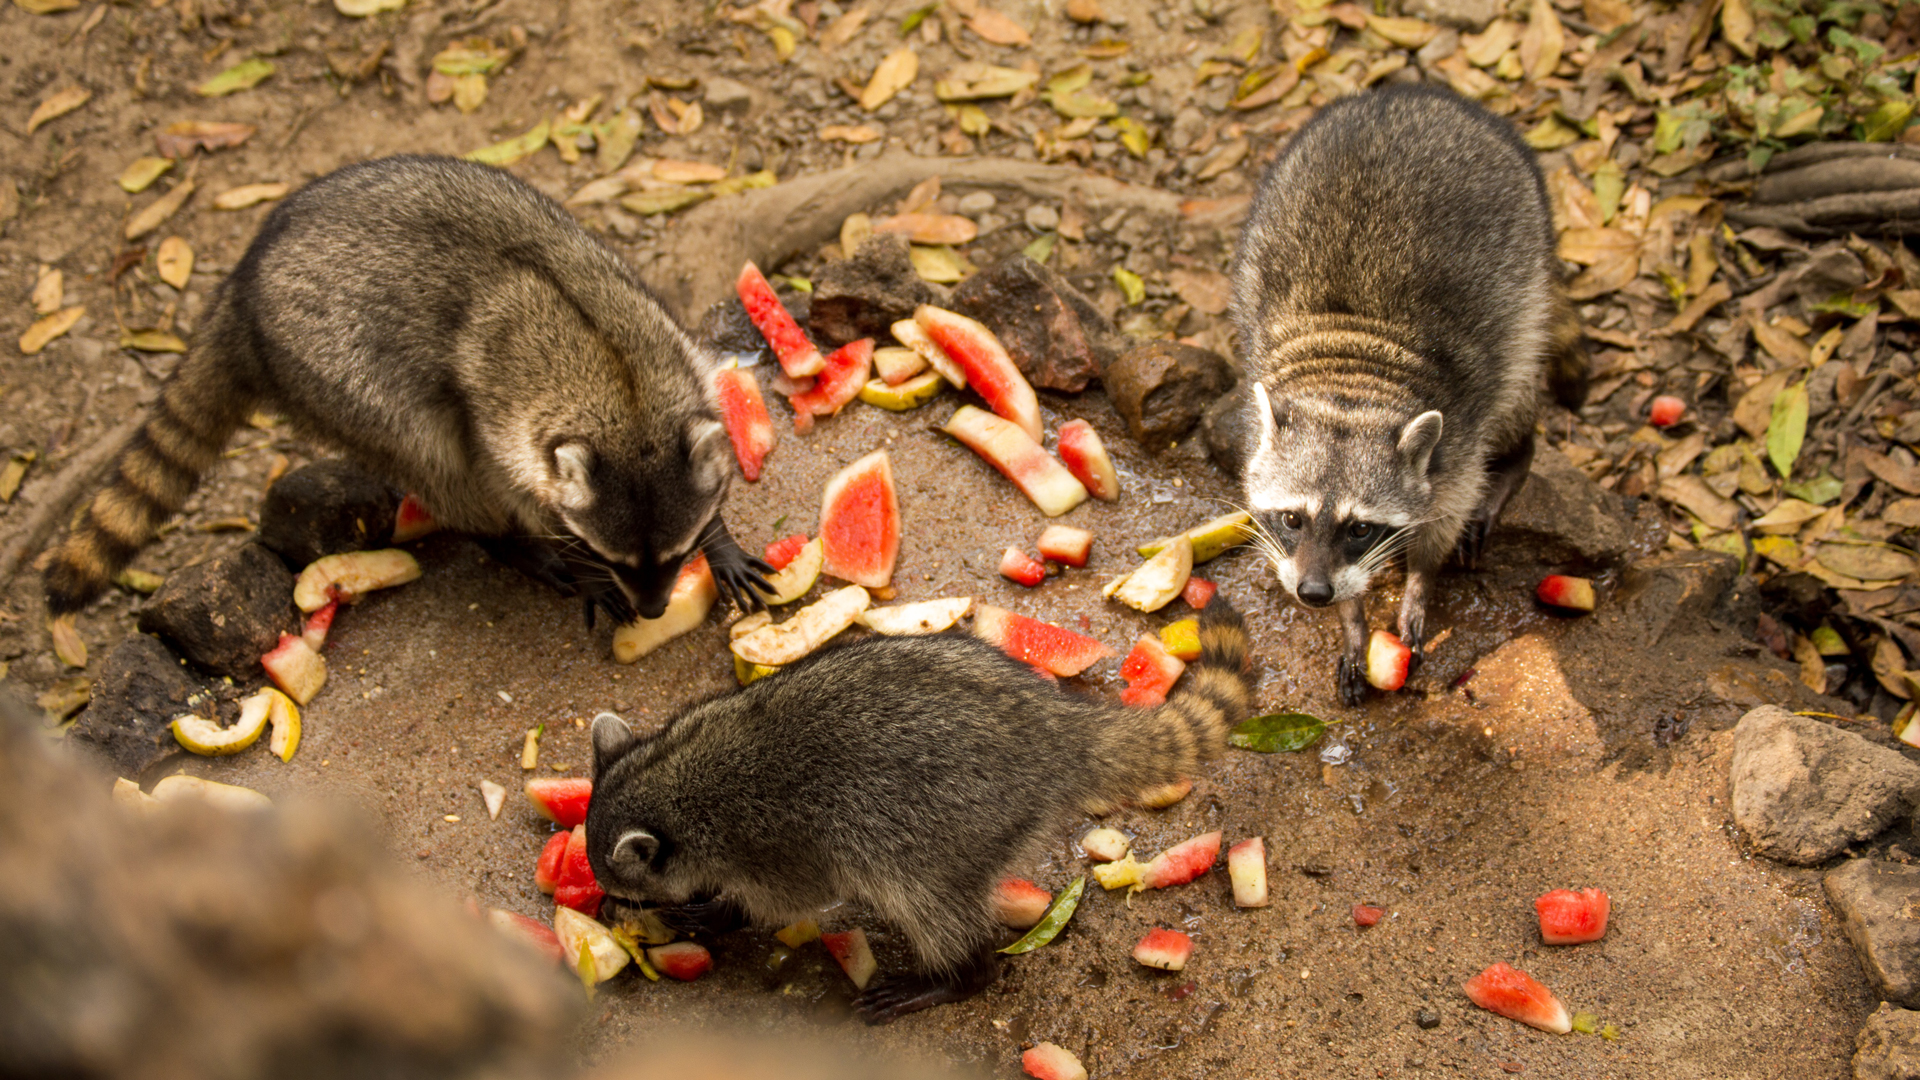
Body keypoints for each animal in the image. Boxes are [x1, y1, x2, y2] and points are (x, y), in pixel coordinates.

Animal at [44, 154, 770, 624]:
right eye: (605, 552)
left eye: (673, 554)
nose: (653, 609)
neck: (626, 398)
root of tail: (242, 289)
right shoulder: (501, 419)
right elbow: (504, 480)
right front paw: (568, 559)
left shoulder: (673, 350)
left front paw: (718, 536)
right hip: (334, 374)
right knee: (439, 458)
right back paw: (504, 542)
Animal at [585, 597, 1254, 1023]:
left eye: (619, 886)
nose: (602, 907)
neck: (670, 775)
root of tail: (1057, 729)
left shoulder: (771, 842)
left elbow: (784, 899)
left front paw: (721, 911)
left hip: (946, 825)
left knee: (928, 903)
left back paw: (958, 977)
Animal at [1229, 84, 1588, 705]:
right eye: (1292, 519)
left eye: (1360, 528)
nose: (1314, 594)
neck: (1349, 380)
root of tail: (1415, 92)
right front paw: (1351, 619)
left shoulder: (1460, 434)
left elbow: (1442, 520)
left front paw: (1417, 587)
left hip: (1527, 261)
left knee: (1517, 386)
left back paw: (1516, 457)